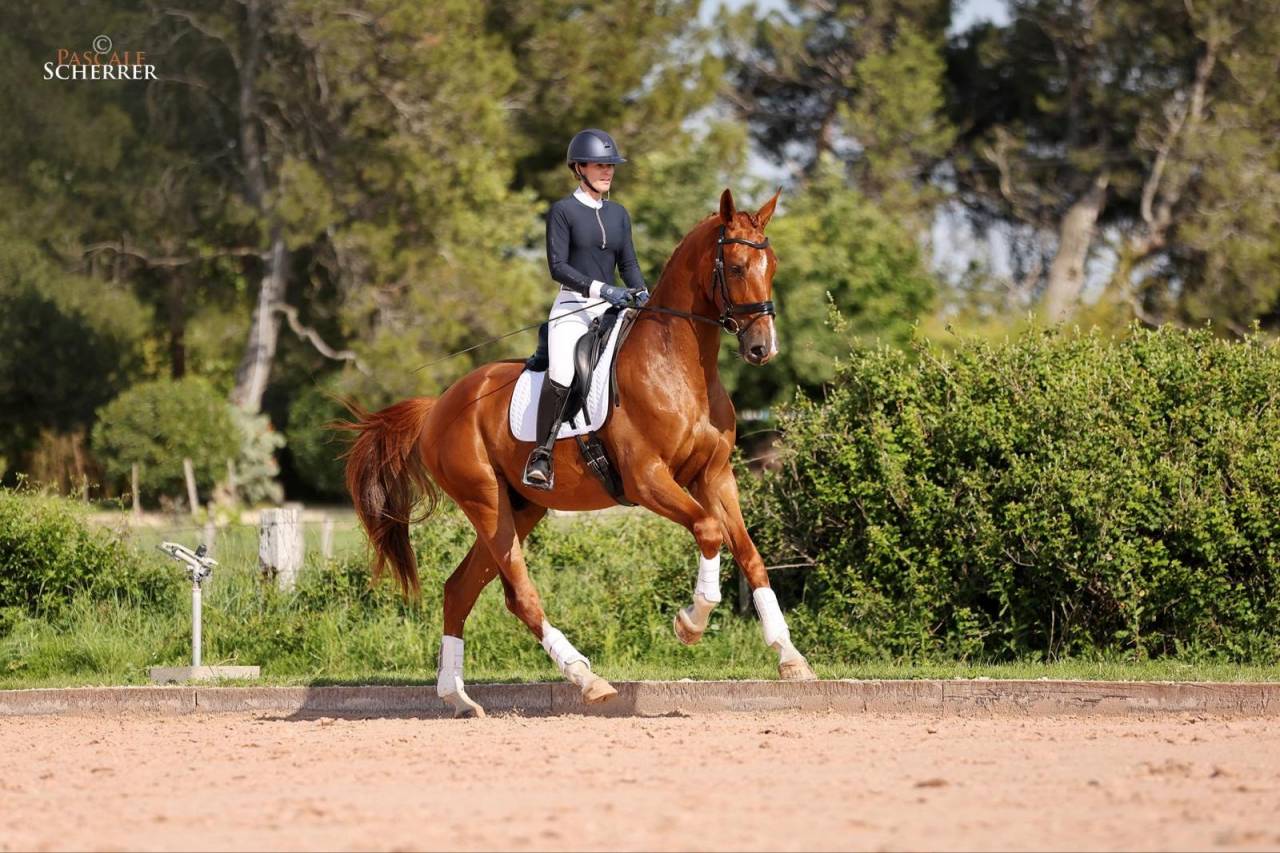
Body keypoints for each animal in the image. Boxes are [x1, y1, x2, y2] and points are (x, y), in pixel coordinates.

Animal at [340, 188, 815, 717]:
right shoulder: (647, 479)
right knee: (519, 595)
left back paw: (459, 697)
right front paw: (691, 621)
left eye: (771, 265)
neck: (678, 364)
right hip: (486, 502)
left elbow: (750, 555)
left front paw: (790, 657)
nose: (762, 348)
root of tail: (439, 404)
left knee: (459, 589)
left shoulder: (714, 476)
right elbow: (709, 529)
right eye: (734, 266)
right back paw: (587, 679)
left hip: (521, 507)